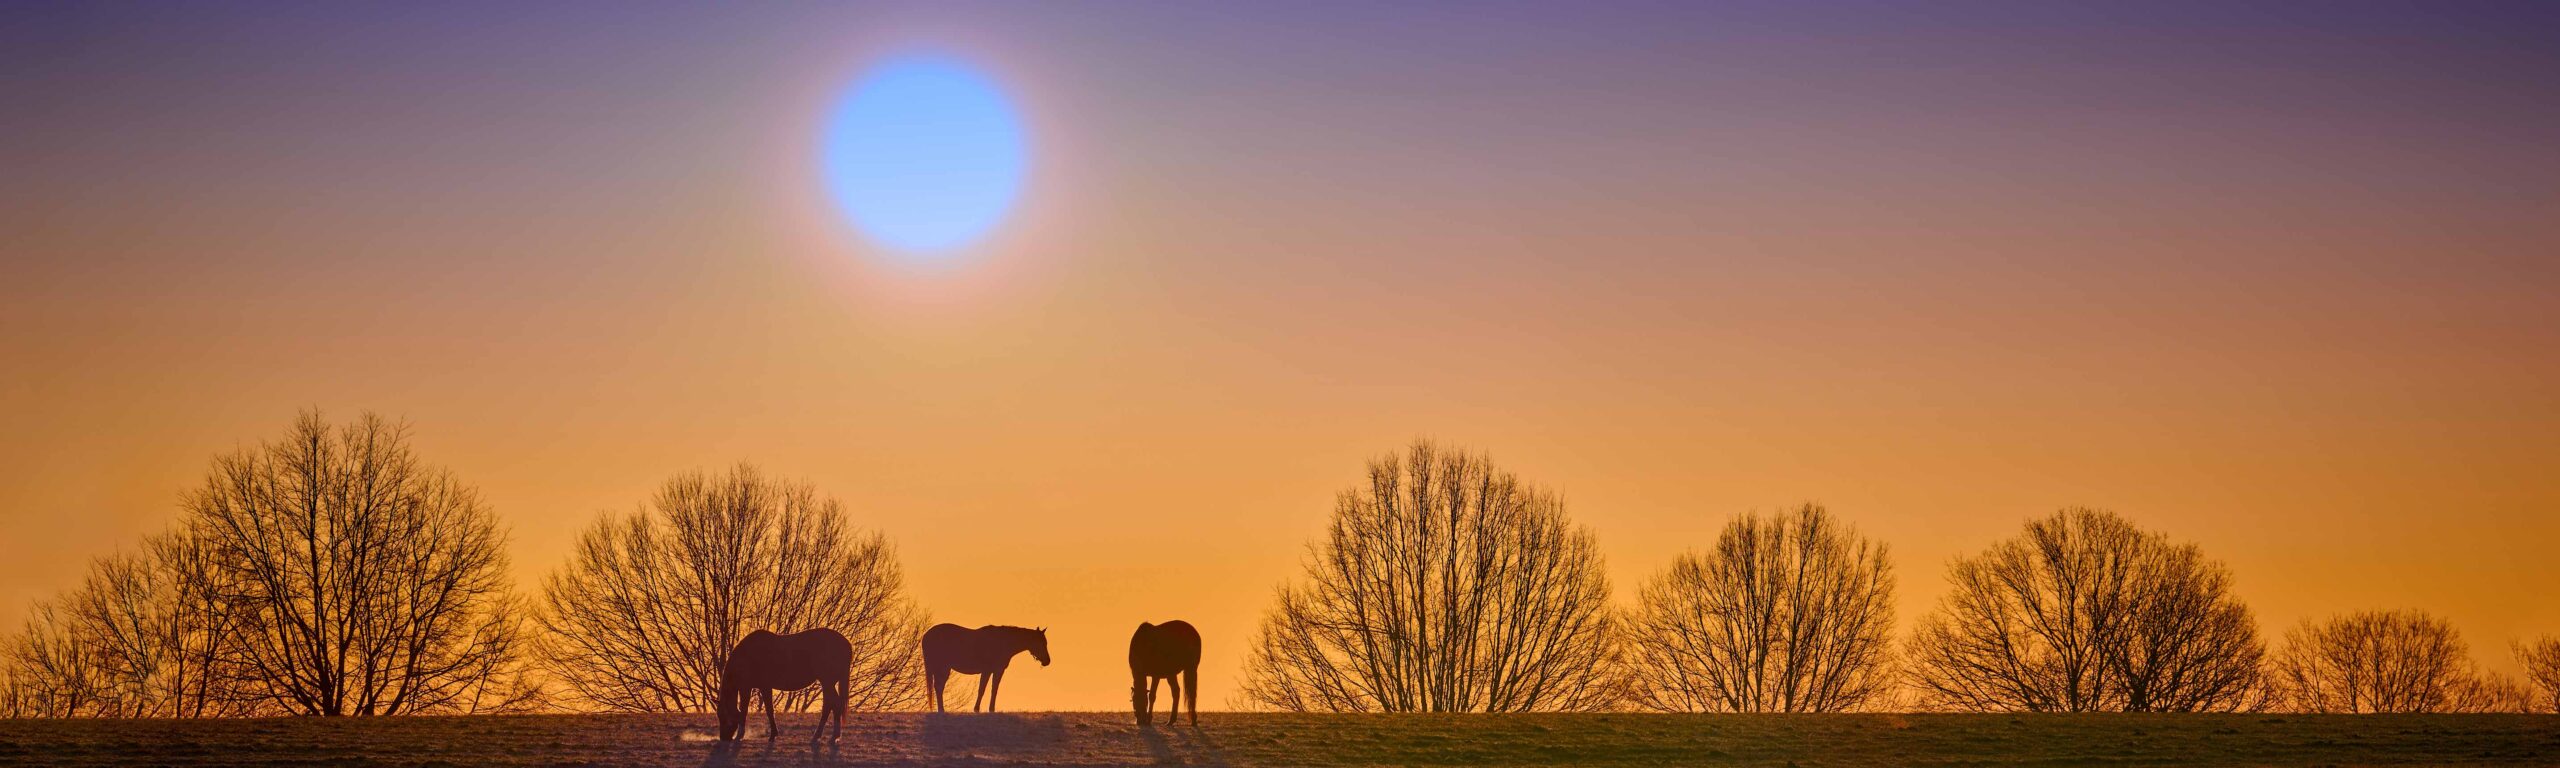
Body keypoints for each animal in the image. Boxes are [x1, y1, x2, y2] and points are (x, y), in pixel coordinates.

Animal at [716, 627, 855, 742]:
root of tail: (846, 644)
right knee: (830, 705)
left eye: (723, 716)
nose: (723, 738)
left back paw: (831, 736)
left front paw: (742, 735)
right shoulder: (757, 687)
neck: (747, 656)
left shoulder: (754, 687)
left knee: (834, 705)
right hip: (828, 683)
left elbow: (755, 710)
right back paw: (823, 736)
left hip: (827, 682)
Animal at [921, 624, 1049, 711]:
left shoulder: (997, 671)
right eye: (1041, 643)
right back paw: (941, 710)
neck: (1003, 642)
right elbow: (982, 689)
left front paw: (991, 709)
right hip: (942, 667)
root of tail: (927, 635)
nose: (1047, 661)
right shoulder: (988, 671)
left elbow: (994, 690)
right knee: (939, 687)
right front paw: (977, 709)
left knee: (938, 687)